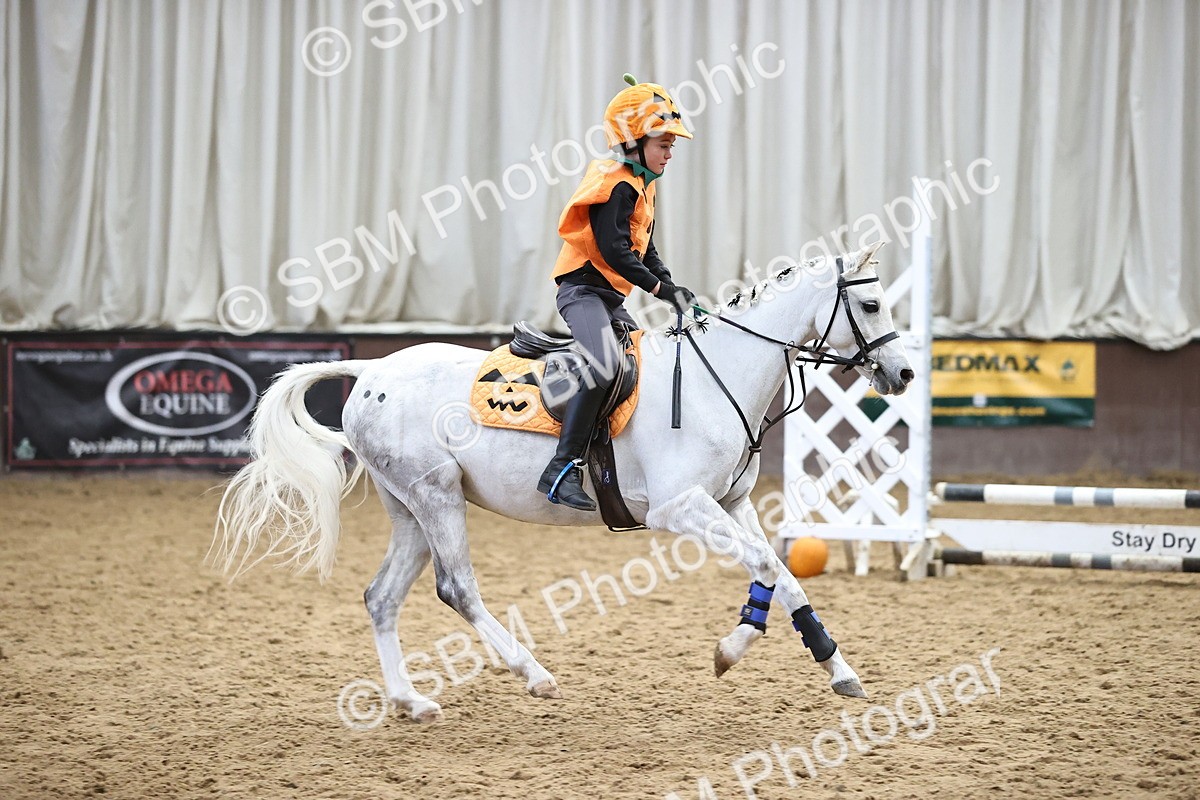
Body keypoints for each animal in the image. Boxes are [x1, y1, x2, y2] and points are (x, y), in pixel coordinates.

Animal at [212, 242, 914, 723]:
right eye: (871, 303)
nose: (904, 374)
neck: (715, 375)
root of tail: (372, 370)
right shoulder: (679, 508)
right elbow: (767, 566)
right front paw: (731, 649)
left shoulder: (732, 503)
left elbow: (783, 571)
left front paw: (837, 668)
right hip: (436, 495)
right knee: (456, 587)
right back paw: (533, 673)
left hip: (407, 506)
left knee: (382, 597)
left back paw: (411, 701)